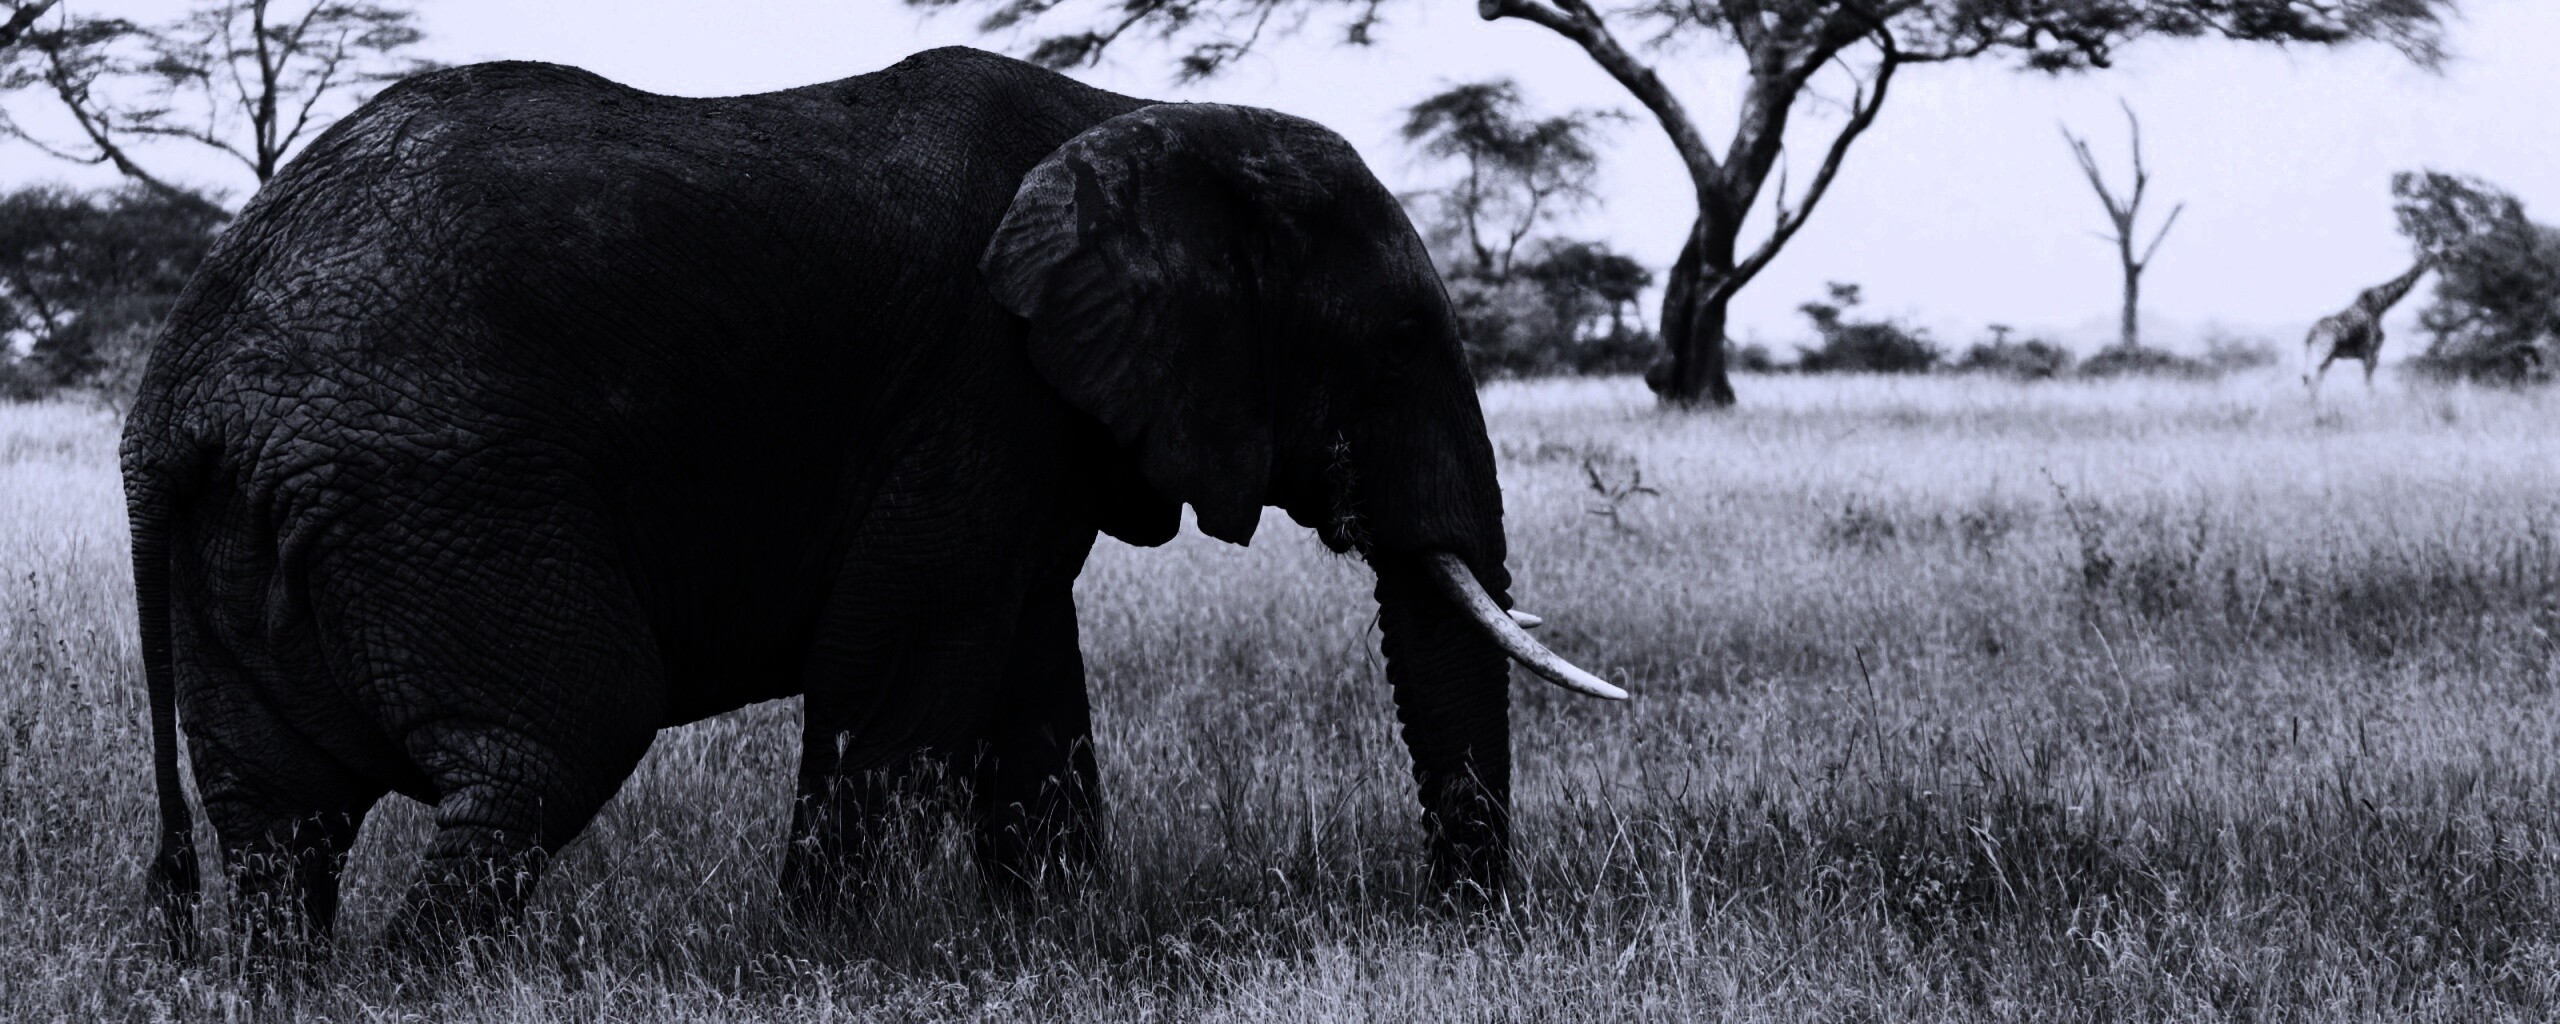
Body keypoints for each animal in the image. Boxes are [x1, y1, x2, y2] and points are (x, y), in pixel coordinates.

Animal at [121, 45, 1622, 955]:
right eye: (1395, 342)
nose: (1459, 923)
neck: (1132, 119)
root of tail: (176, 390)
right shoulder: (978, 384)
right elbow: (898, 666)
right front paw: (829, 960)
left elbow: (1026, 676)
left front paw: (1053, 946)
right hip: (441, 493)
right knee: (546, 745)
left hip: (264, 531)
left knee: (279, 820)